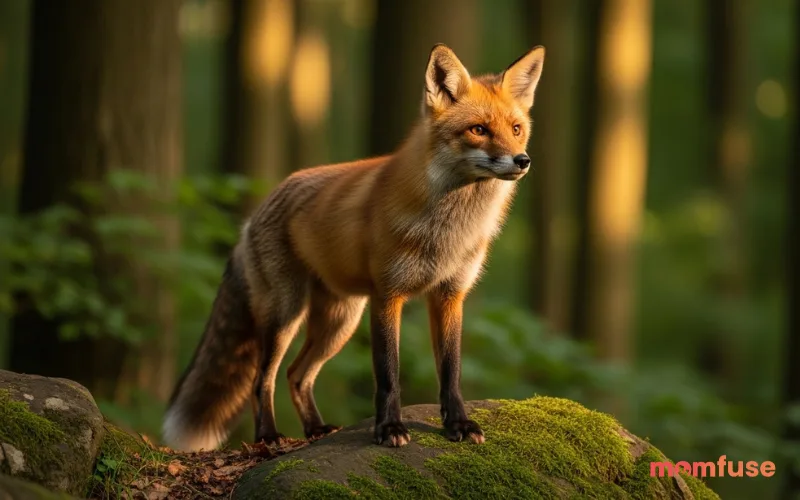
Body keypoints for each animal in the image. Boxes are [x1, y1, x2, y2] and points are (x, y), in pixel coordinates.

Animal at [163, 43, 545, 451]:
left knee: (297, 375)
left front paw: (457, 423)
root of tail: (256, 212)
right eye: (478, 130)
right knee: (262, 379)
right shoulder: (387, 295)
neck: (447, 231)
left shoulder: (449, 295)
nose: (522, 160)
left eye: (516, 129)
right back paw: (268, 435)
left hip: (338, 323)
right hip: (286, 313)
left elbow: (450, 372)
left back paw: (316, 429)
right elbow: (388, 374)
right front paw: (389, 428)